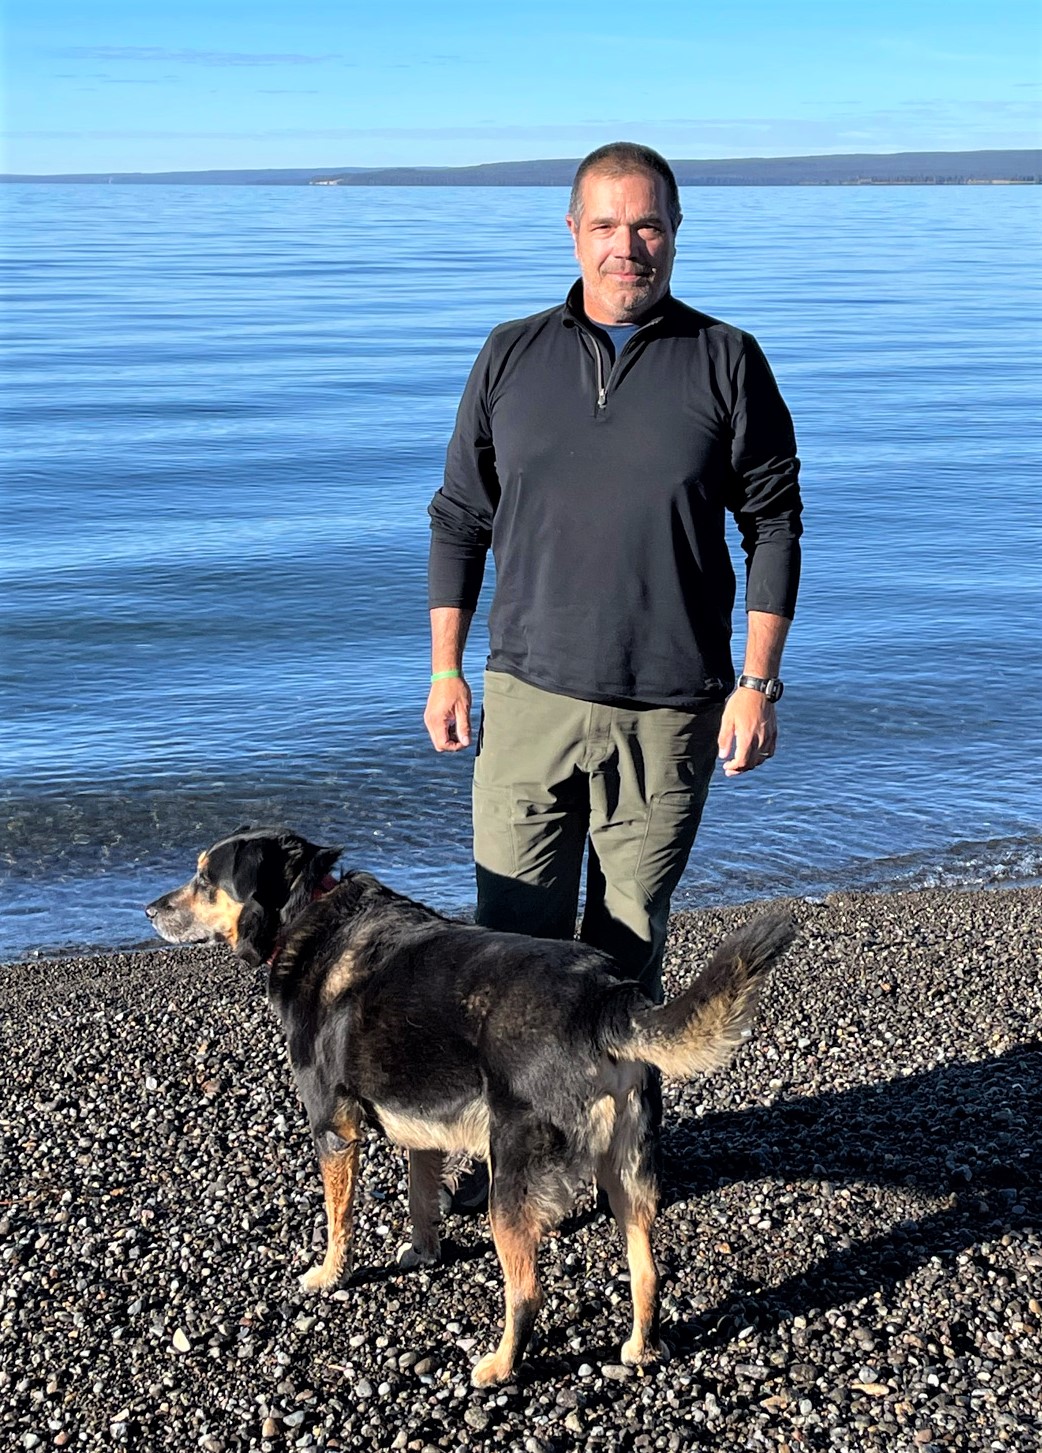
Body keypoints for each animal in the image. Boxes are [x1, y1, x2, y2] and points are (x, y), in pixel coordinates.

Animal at [146, 831, 790, 1383]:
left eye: (205, 878)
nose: (149, 910)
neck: (308, 912)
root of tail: (605, 1001)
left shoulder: (333, 1125)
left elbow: (338, 1218)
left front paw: (329, 1274)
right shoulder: (423, 1129)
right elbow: (419, 1198)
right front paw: (424, 1253)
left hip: (512, 1176)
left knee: (526, 1291)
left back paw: (501, 1366)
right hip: (629, 1169)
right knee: (648, 1269)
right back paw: (641, 1348)